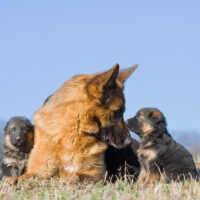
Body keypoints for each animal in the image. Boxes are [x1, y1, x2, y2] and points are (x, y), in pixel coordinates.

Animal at [5, 63, 138, 184]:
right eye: (118, 112)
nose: (129, 142)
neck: (72, 131)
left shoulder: (95, 175)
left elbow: (75, 175)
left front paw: (65, 180)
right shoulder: (38, 171)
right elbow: (23, 177)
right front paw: (12, 180)